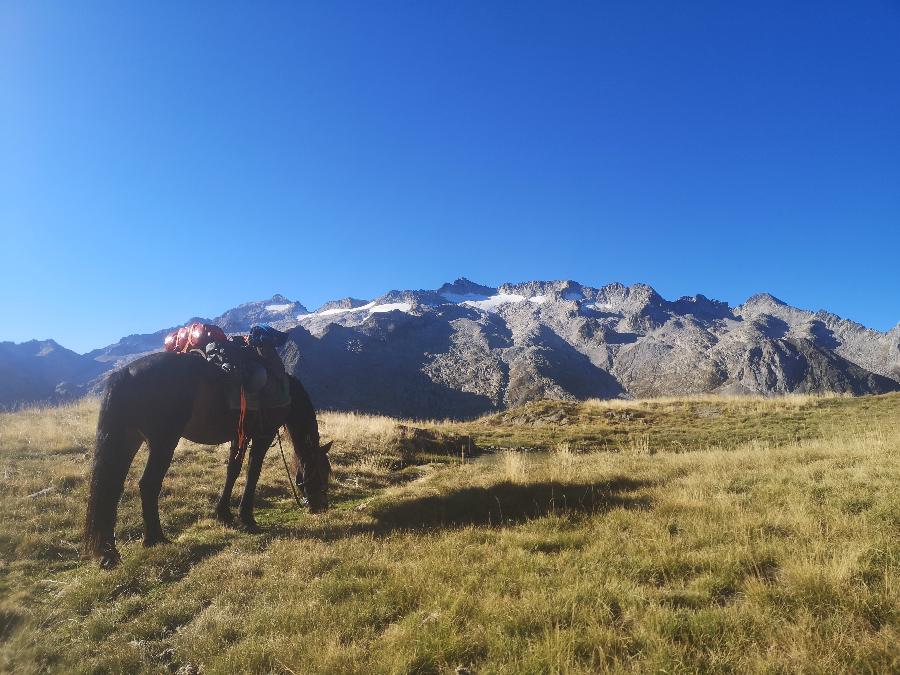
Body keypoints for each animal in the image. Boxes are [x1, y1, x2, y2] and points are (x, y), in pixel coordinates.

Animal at [83, 352, 330, 568]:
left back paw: (110, 552)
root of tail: (124, 373)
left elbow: (233, 470)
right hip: (163, 442)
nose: (322, 506)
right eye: (324, 472)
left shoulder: (239, 436)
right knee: (148, 485)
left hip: (128, 439)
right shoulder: (263, 435)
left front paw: (224, 514)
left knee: (111, 488)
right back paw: (155, 538)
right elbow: (253, 472)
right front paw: (246, 517)